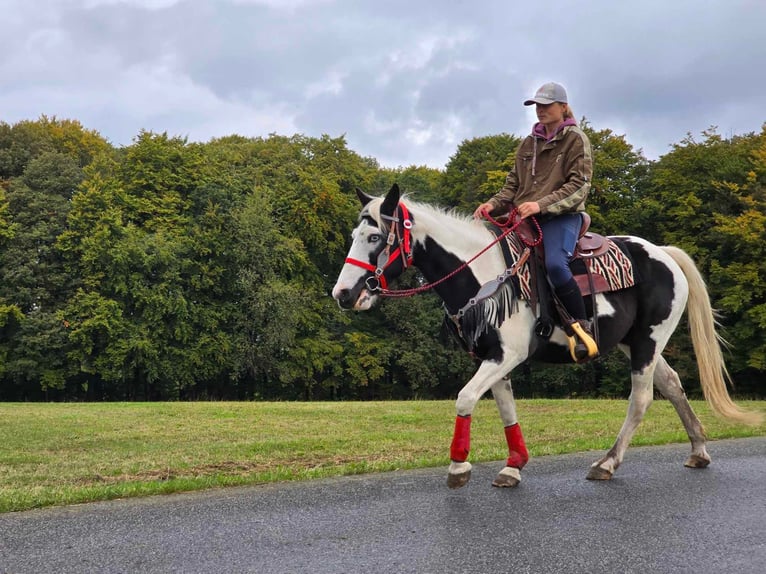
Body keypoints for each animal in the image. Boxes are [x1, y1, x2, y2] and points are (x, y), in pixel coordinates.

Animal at [332, 184, 764, 490]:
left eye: (375, 237)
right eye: (355, 233)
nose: (344, 294)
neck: (486, 274)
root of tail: (664, 253)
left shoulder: (507, 355)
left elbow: (465, 398)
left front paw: (458, 466)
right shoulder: (493, 357)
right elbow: (506, 409)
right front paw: (513, 466)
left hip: (648, 341)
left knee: (641, 399)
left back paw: (607, 463)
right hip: (638, 344)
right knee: (673, 385)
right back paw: (699, 450)